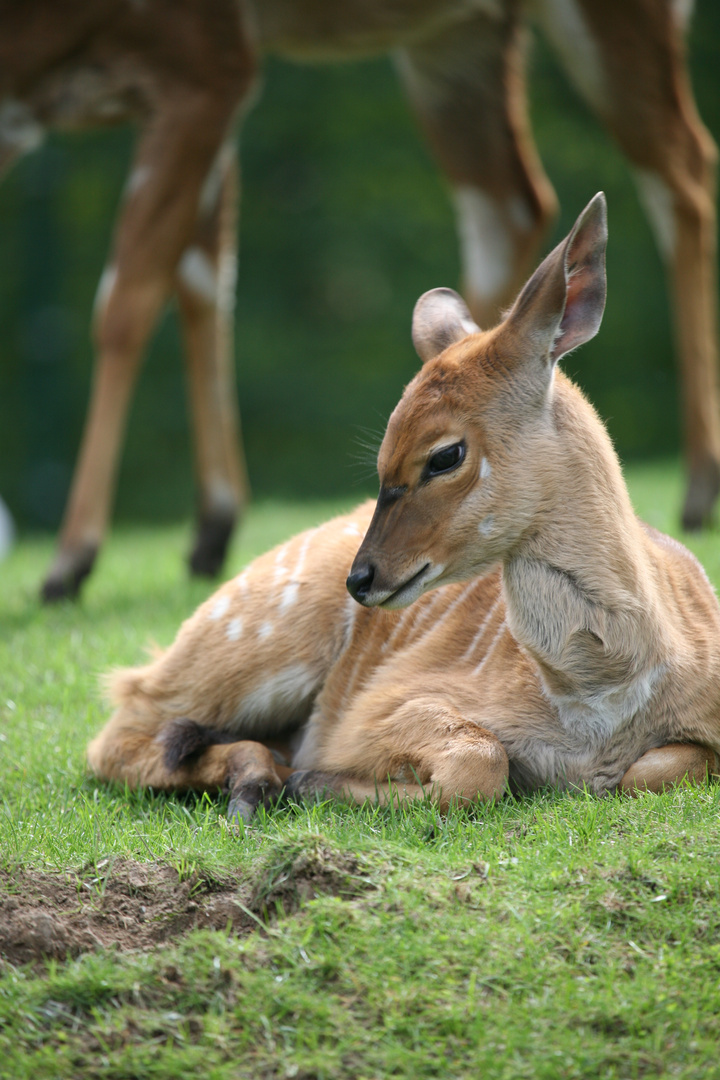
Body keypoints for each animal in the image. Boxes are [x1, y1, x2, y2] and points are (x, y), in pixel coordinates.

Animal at [1, 0, 720, 600]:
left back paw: (699, 488)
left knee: (682, 169)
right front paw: (210, 531)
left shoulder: (207, 65)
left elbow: (128, 298)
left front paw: (69, 563)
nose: (362, 578)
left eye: (445, 456)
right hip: (457, 40)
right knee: (512, 203)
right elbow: (207, 277)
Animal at [88, 194, 720, 816]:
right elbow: (478, 765)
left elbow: (656, 769)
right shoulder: (382, 706)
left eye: (445, 455)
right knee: (122, 731)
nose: (362, 578)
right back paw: (254, 786)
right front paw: (315, 782)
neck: (600, 703)